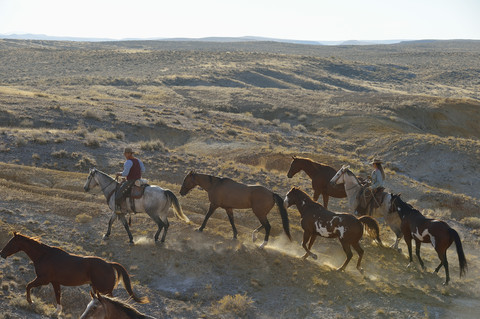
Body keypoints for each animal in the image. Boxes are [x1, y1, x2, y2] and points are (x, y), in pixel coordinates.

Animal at [0, 232, 148, 316]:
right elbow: (57, 296)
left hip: (105, 290)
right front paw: (57, 311)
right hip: (97, 289)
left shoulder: (43, 279)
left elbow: (28, 286)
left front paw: (30, 302)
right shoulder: (54, 282)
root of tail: (109, 264)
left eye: (11, 243)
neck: (44, 256)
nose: (2, 254)